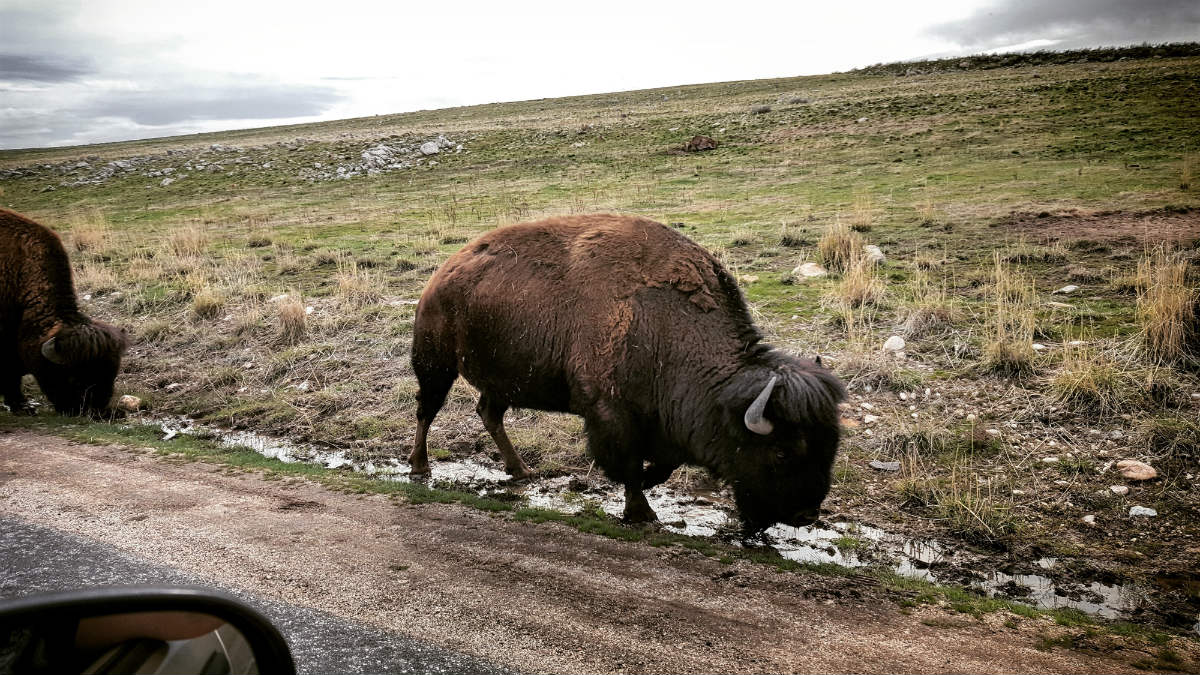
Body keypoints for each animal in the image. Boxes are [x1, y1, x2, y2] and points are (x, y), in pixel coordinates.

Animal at [412, 212, 844, 528]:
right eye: (782, 452)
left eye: (831, 445)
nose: (805, 515)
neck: (667, 323)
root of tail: (441, 275)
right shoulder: (611, 414)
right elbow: (630, 465)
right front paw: (642, 513)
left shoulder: (664, 421)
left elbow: (663, 465)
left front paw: (648, 490)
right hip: (436, 365)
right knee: (426, 411)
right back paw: (420, 467)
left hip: (501, 380)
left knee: (489, 413)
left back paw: (521, 470)